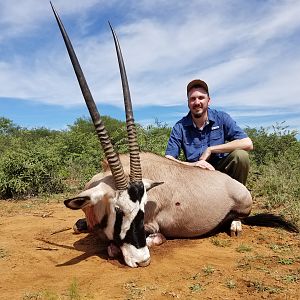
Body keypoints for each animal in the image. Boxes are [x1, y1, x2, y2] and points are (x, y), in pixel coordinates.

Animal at [51, 3, 298, 268]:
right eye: (118, 210)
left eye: (141, 209)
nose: (142, 260)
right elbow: (78, 226)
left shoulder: (153, 227)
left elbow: (131, 243)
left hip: (243, 205)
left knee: (240, 217)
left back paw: (233, 225)